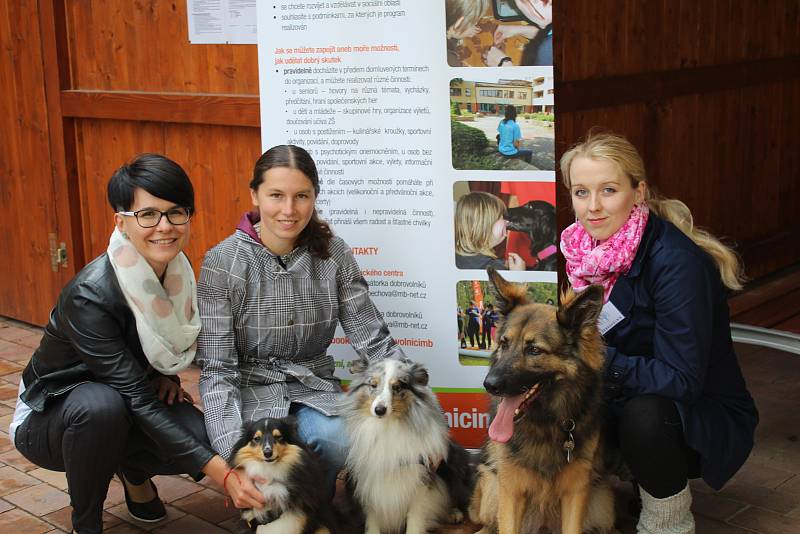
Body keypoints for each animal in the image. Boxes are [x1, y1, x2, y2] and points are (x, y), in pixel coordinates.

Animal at [342, 360, 468, 534]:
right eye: (373, 385)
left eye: (397, 387)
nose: (379, 410)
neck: (387, 427)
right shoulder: (368, 478)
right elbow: (372, 514)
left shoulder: (421, 476)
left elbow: (415, 515)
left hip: (456, 460)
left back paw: (453, 514)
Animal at [468, 270, 612, 534]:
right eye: (503, 343)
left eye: (534, 350)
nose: (489, 384)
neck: (544, 423)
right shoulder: (511, 490)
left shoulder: (576, 491)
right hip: (491, 486)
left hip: (603, 500)